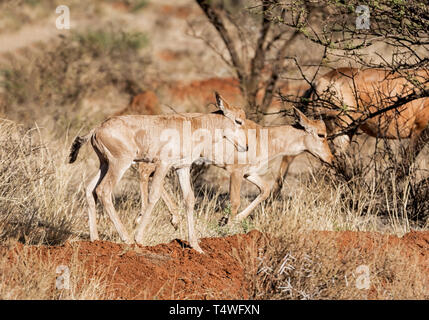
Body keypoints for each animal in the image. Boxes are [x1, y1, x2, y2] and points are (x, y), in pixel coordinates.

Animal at [68, 92, 246, 252]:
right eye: (238, 121)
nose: (246, 146)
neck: (193, 125)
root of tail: (97, 129)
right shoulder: (163, 164)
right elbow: (154, 194)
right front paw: (138, 238)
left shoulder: (182, 168)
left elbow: (189, 199)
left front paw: (196, 246)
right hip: (119, 164)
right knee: (103, 190)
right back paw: (127, 238)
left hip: (105, 165)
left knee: (90, 189)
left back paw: (95, 240)